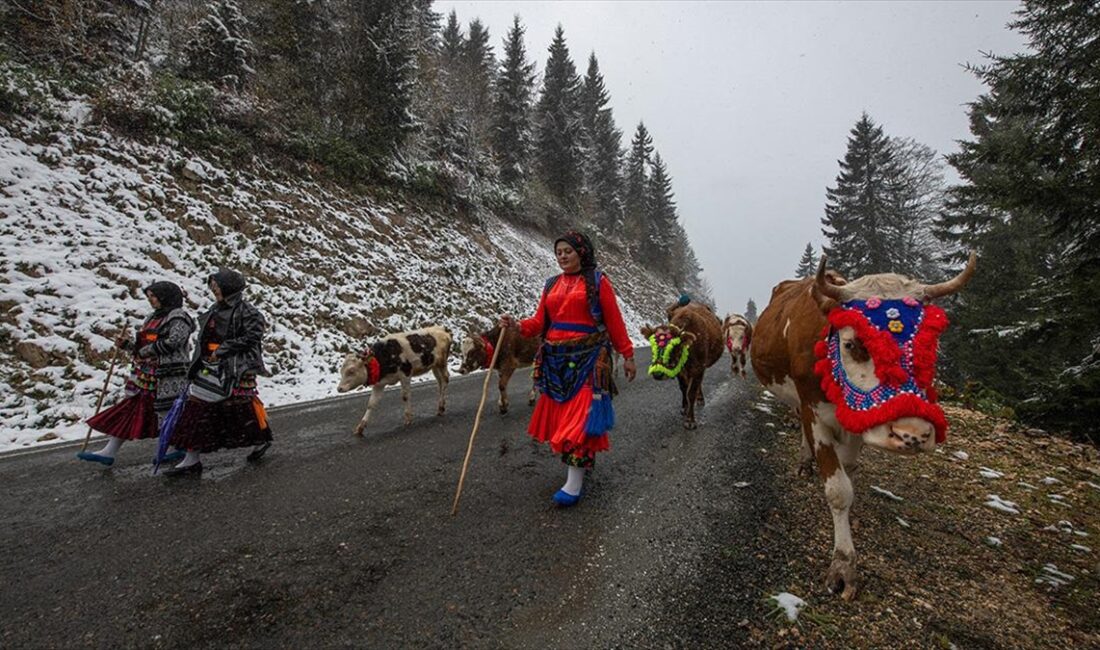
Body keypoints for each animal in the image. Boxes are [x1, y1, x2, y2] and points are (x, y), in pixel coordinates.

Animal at [642, 299, 726, 433]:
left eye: (674, 347)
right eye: (653, 346)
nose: (658, 373)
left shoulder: (698, 368)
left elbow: (691, 393)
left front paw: (690, 421)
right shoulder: (680, 371)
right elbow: (683, 388)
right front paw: (684, 408)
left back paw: (700, 399)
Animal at [752, 252, 976, 598]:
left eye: (929, 346)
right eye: (854, 344)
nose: (912, 435)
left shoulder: (856, 424)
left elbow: (847, 475)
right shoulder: (813, 411)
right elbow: (838, 489)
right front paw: (843, 566)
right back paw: (804, 462)